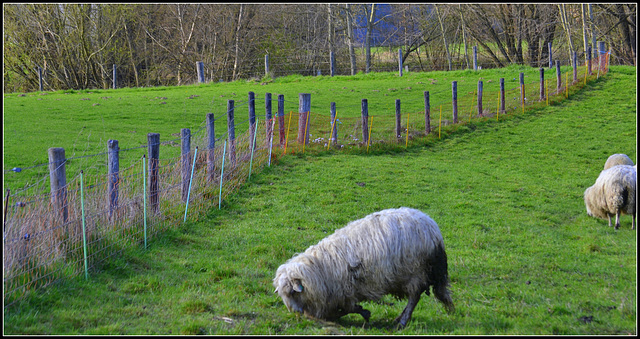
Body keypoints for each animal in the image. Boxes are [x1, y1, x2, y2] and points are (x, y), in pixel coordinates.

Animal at [272, 207, 452, 330]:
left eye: (292, 292)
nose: (296, 312)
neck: (320, 268)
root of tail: (434, 231)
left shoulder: (345, 290)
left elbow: (346, 308)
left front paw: (363, 312)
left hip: (415, 273)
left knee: (414, 297)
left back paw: (401, 322)